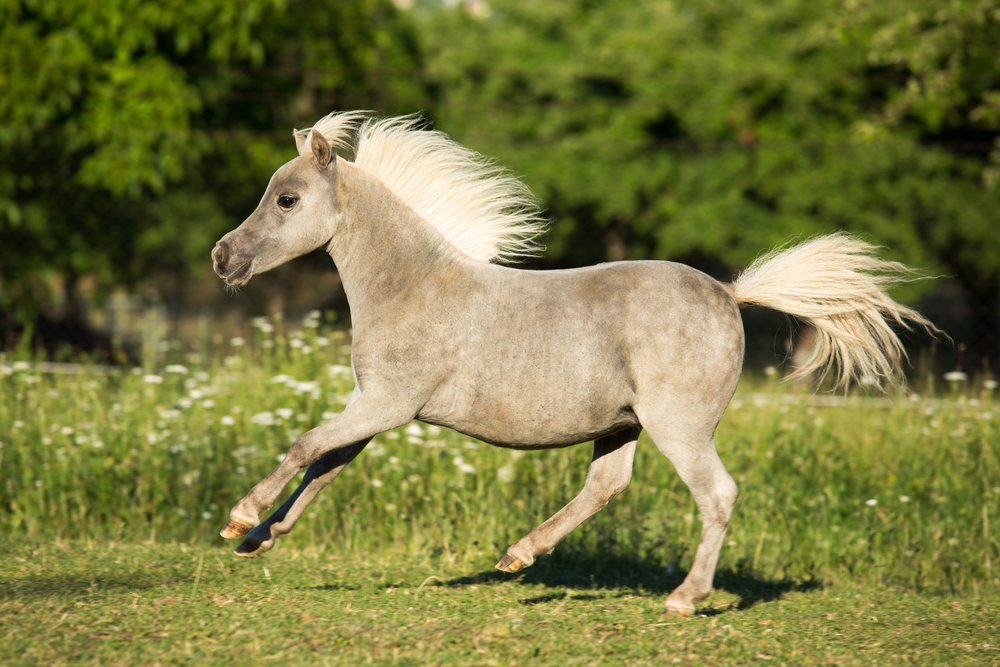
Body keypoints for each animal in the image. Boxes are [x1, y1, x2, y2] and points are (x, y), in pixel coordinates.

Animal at [213, 111, 936, 616]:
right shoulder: (376, 408)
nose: (224, 257)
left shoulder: (386, 404)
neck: (411, 286)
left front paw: (240, 519)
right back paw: (518, 555)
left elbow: (307, 445)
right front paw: (261, 540)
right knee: (607, 486)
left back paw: (683, 597)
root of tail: (731, 294)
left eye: (286, 200)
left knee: (717, 494)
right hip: (622, 424)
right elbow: (326, 466)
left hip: (679, 427)